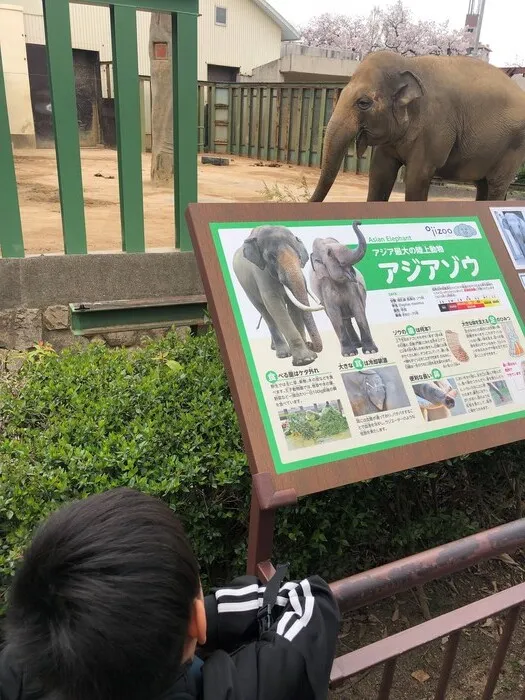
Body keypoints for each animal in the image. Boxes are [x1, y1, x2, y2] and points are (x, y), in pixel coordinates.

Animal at [233, 226, 324, 370]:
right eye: (272, 257)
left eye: (299, 257)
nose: (310, 344)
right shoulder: (260, 272)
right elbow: (274, 304)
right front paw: (306, 360)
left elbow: (293, 306)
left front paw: (308, 356)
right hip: (246, 287)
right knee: (265, 312)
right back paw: (283, 353)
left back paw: (276, 348)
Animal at [308, 221, 376, 356]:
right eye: (329, 253)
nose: (359, 222)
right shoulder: (326, 286)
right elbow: (334, 315)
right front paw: (349, 354)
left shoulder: (353, 289)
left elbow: (358, 310)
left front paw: (370, 351)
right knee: (343, 320)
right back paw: (355, 347)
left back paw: (358, 346)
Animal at [310, 48, 524, 202]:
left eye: (363, 103)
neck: (410, 64)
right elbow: (379, 172)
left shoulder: (434, 128)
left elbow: (417, 177)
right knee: (483, 184)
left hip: (513, 148)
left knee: (496, 185)